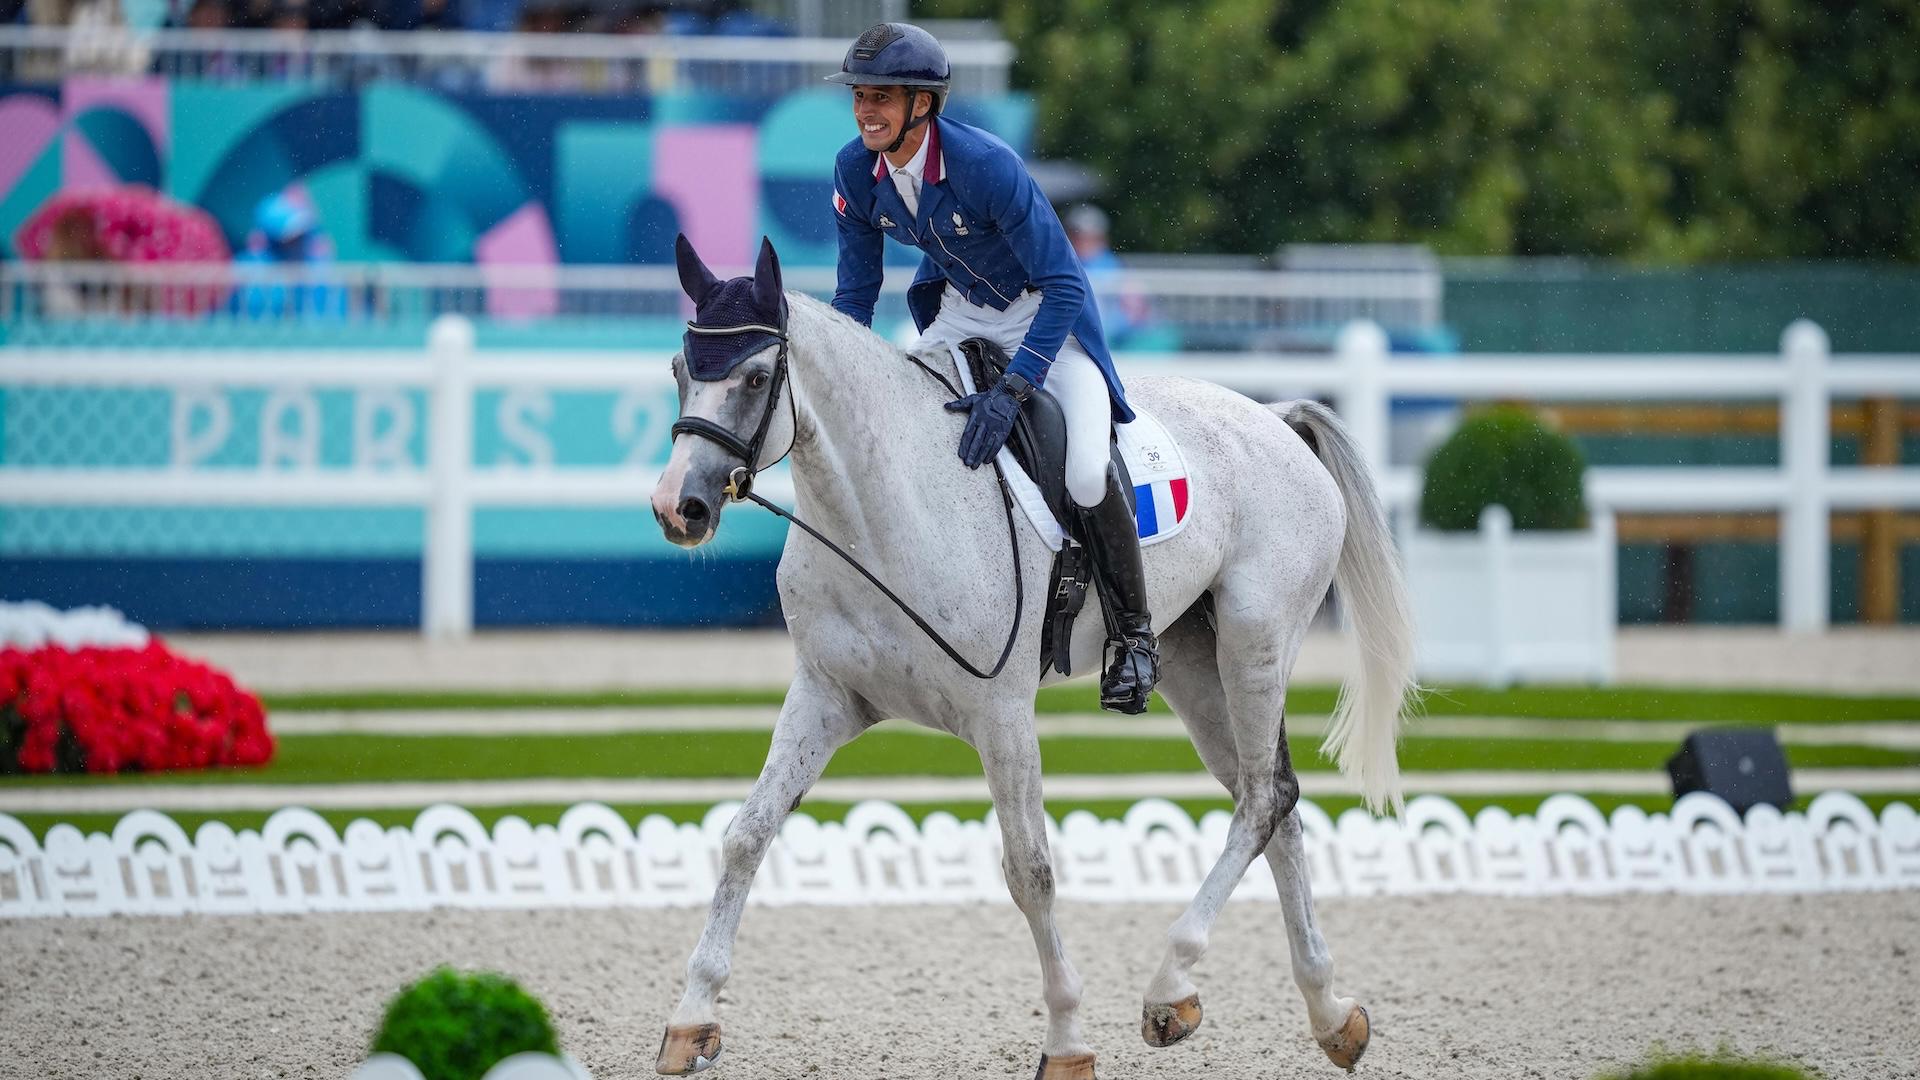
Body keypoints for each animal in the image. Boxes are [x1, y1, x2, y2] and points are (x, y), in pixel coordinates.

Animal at [652, 237, 1420, 1076]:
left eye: (757, 377)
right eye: (681, 368)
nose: (677, 508)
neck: (881, 509)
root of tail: (1276, 416)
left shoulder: (1001, 714)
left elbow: (1031, 872)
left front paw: (1068, 1042)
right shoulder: (826, 697)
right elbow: (746, 835)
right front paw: (691, 1021)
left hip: (1256, 641)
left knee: (1260, 801)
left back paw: (1170, 987)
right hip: (1197, 668)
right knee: (1276, 803)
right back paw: (1330, 1014)